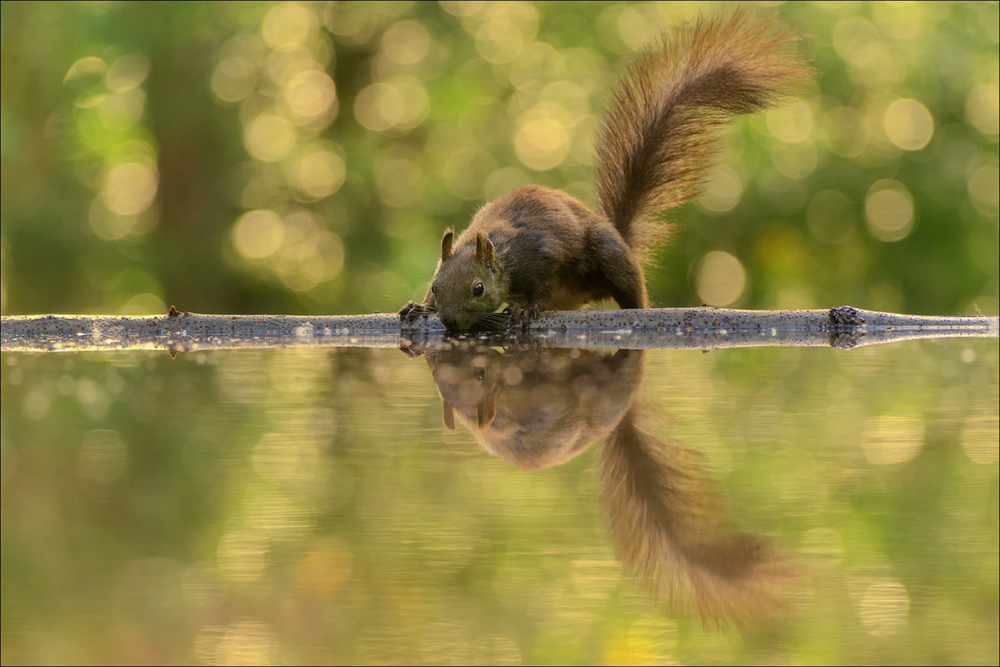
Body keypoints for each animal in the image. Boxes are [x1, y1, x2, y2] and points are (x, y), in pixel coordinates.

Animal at [398, 9, 812, 332]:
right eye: (435, 286)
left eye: (478, 289)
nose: (450, 321)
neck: (500, 251)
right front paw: (418, 307)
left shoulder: (543, 254)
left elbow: (541, 287)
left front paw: (528, 309)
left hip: (609, 253)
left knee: (631, 294)